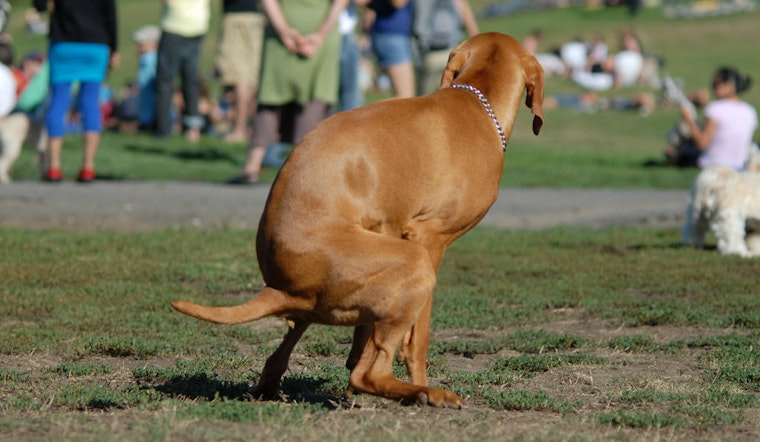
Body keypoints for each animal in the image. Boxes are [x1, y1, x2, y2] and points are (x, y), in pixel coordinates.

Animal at [172, 32, 544, 410]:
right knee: (368, 373)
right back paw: (424, 393)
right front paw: (420, 380)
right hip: (416, 264)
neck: (474, 99)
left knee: (285, 354)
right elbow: (418, 338)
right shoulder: (429, 239)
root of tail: (280, 287)